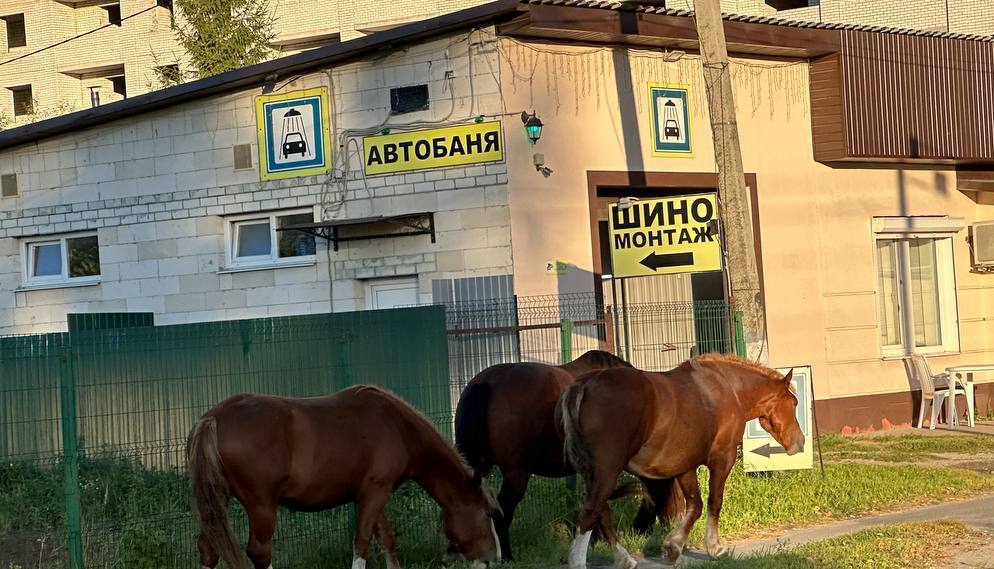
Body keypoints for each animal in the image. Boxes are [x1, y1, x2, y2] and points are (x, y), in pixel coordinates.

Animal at [187, 385, 500, 569]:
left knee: (209, 549)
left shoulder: (372, 494)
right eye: (486, 514)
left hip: (217, 501)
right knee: (260, 552)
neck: (398, 429)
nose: (494, 558)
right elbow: (361, 543)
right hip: (261, 506)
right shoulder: (375, 493)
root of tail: (213, 418)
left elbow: (386, 540)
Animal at [455, 349, 658, 560]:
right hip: (516, 475)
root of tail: (487, 382)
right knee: (502, 511)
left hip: (479, 467)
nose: (642, 528)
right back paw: (507, 556)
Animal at [560, 354, 805, 569]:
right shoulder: (722, 459)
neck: (727, 388)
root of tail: (583, 386)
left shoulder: (684, 467)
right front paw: (714, 548)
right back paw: (579, 561)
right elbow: (714, 502)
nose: (799, 442)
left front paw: (673, 546)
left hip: (593, 474)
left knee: (602, 512)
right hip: (608, 471)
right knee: (591, 512)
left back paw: (624, 559)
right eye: (794, 402)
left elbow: (695, 505)